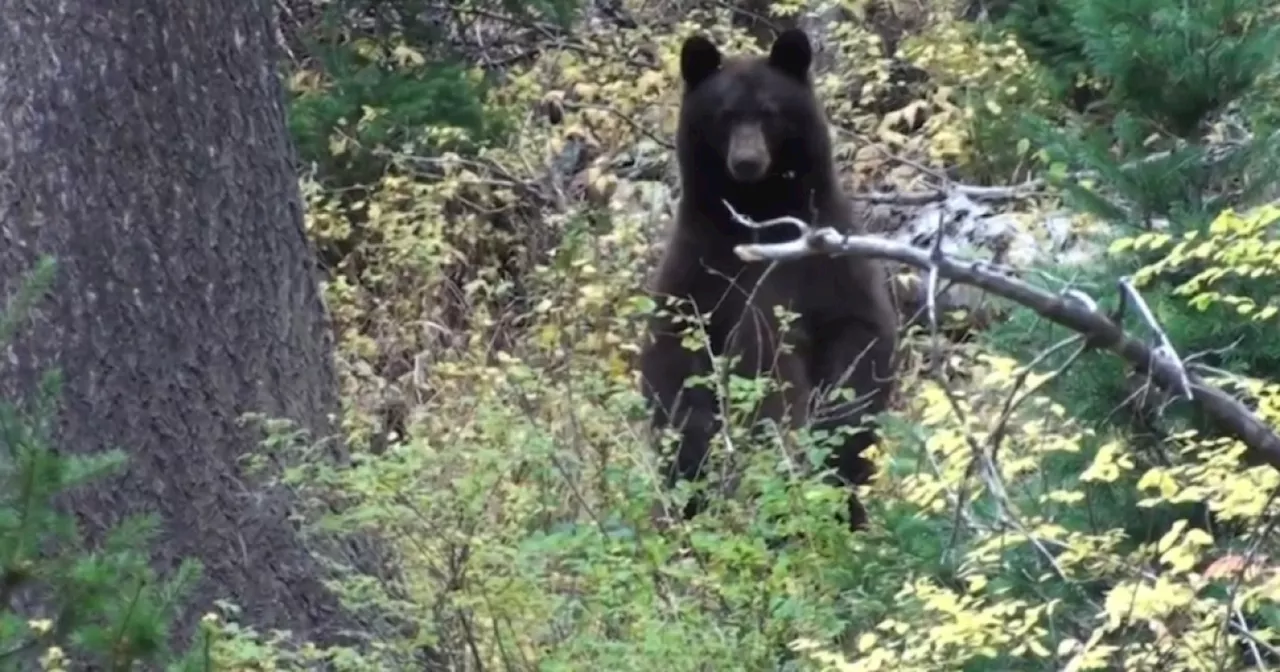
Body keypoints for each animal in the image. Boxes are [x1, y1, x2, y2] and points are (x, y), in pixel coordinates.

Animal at [640, 27, 901, 529]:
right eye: (724, 114)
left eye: (769, 111)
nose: (746, 160)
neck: (758, 211)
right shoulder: (700, 266)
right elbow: (675, 363)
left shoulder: (826, 259)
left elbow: (858, 338)